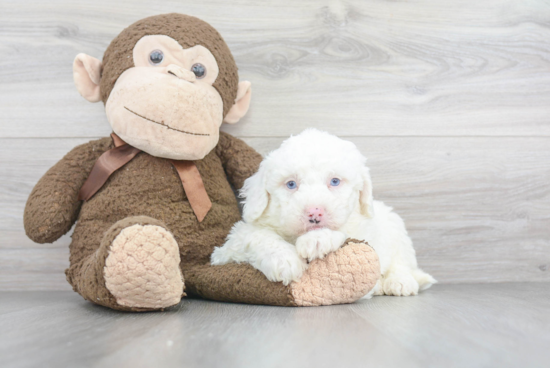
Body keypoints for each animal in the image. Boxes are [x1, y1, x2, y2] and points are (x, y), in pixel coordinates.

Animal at [213, 129, 438, 296]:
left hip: (398, 232)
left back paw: (399, 282)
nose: (315, 213)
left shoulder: (363, 231)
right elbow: (256, 235)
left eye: (335, 181)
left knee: (402, 263)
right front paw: (284, 260)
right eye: (291, 184)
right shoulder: (229, 246)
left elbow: (344, 233)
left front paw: (317, 240)